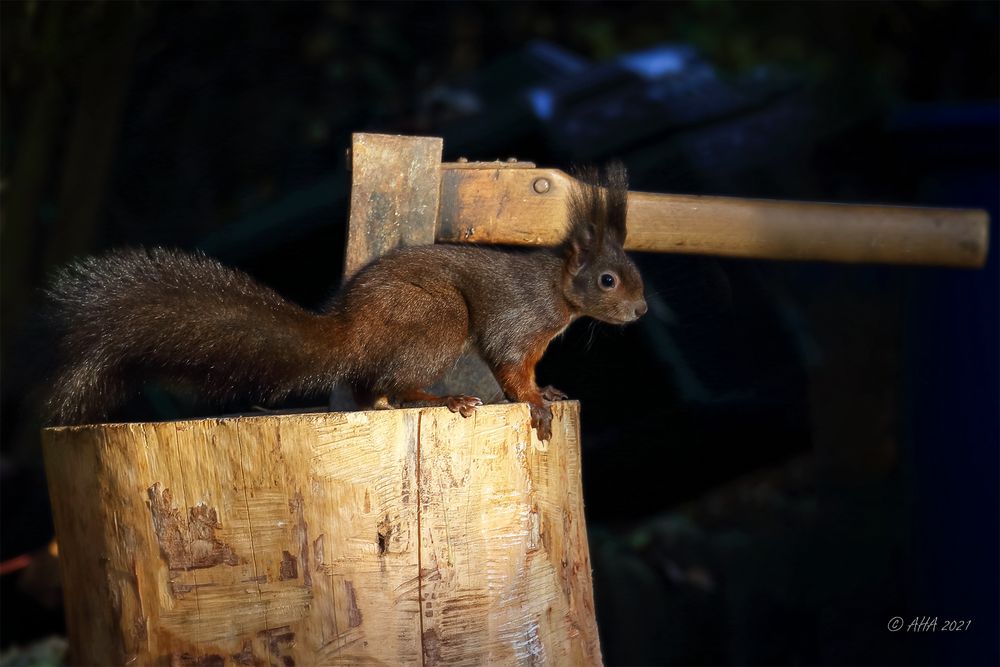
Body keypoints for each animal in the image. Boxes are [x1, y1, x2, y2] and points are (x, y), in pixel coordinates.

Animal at [43, 164, 644, 440]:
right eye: (608, 280)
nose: (640, 311)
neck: (557, 292)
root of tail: (353, 330)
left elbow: (529, 370)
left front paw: (550, 389)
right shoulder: (519, 320)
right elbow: (509, 364)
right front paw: (536, 403)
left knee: (375, 389)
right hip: (437, 317)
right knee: (397, 385)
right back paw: (441, 398)